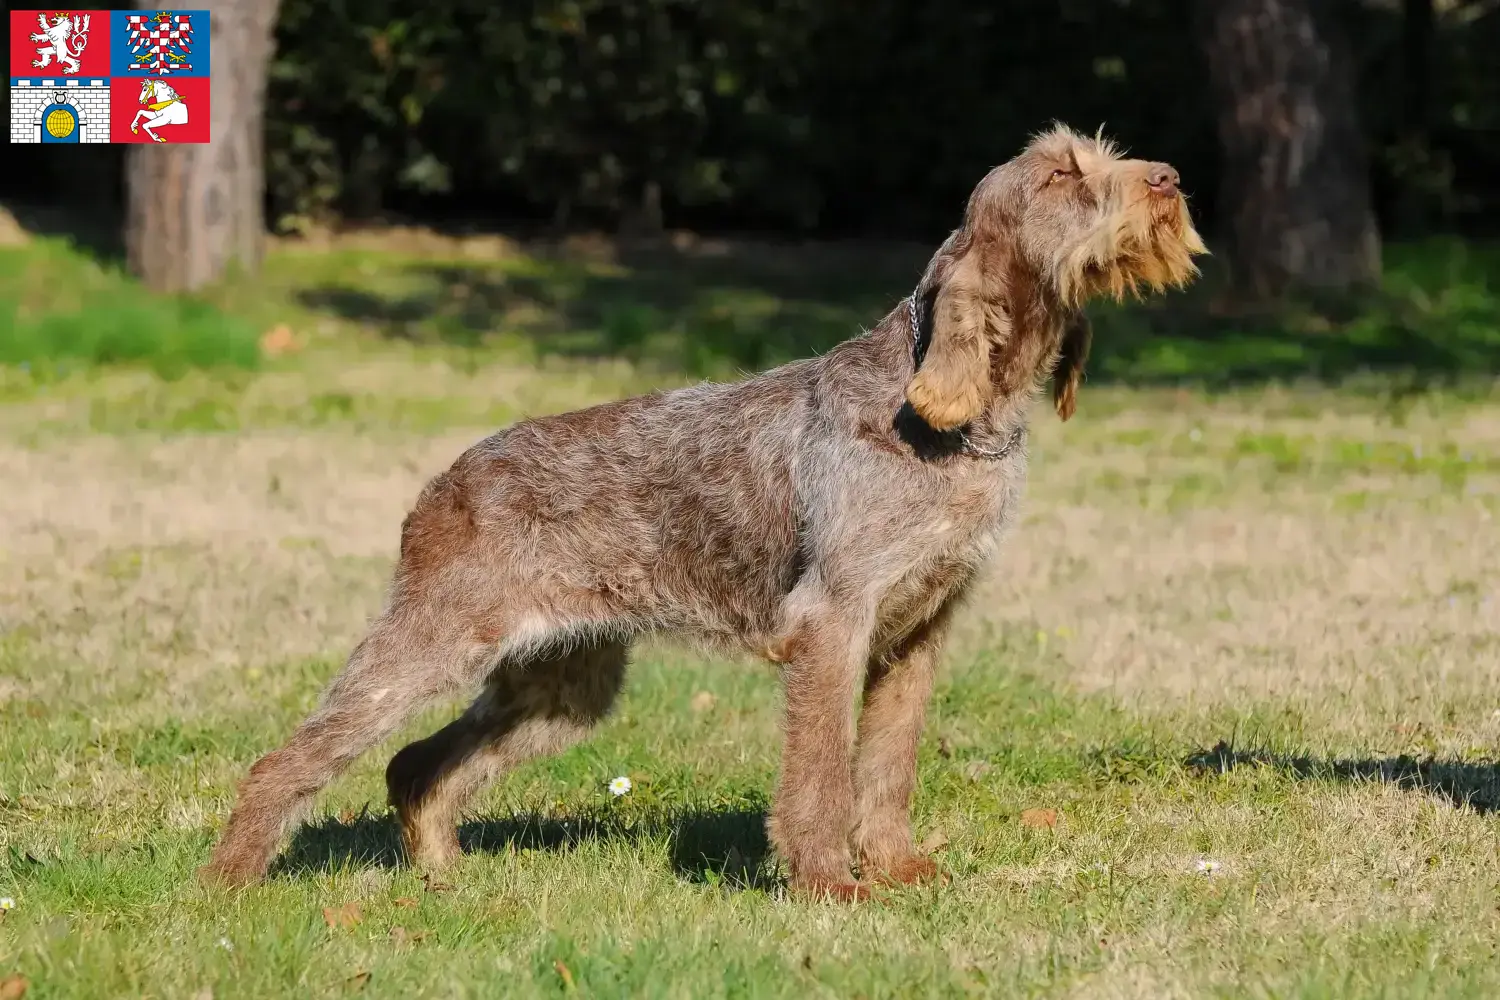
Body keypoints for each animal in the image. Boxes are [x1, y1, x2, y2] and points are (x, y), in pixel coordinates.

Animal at [202, 125, 1206, 899]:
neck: (950, 423)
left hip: (563, 684)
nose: (1169, 177)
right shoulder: (831, 625)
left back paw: (443, 876)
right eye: (1063, 175)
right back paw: (232, 886)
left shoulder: (919, 630)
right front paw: (828, 884)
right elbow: (822, 777)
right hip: (430, 647)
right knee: (289, 762)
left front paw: (896, 869)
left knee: (415, 766)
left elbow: (888, 768)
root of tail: (442, 483)